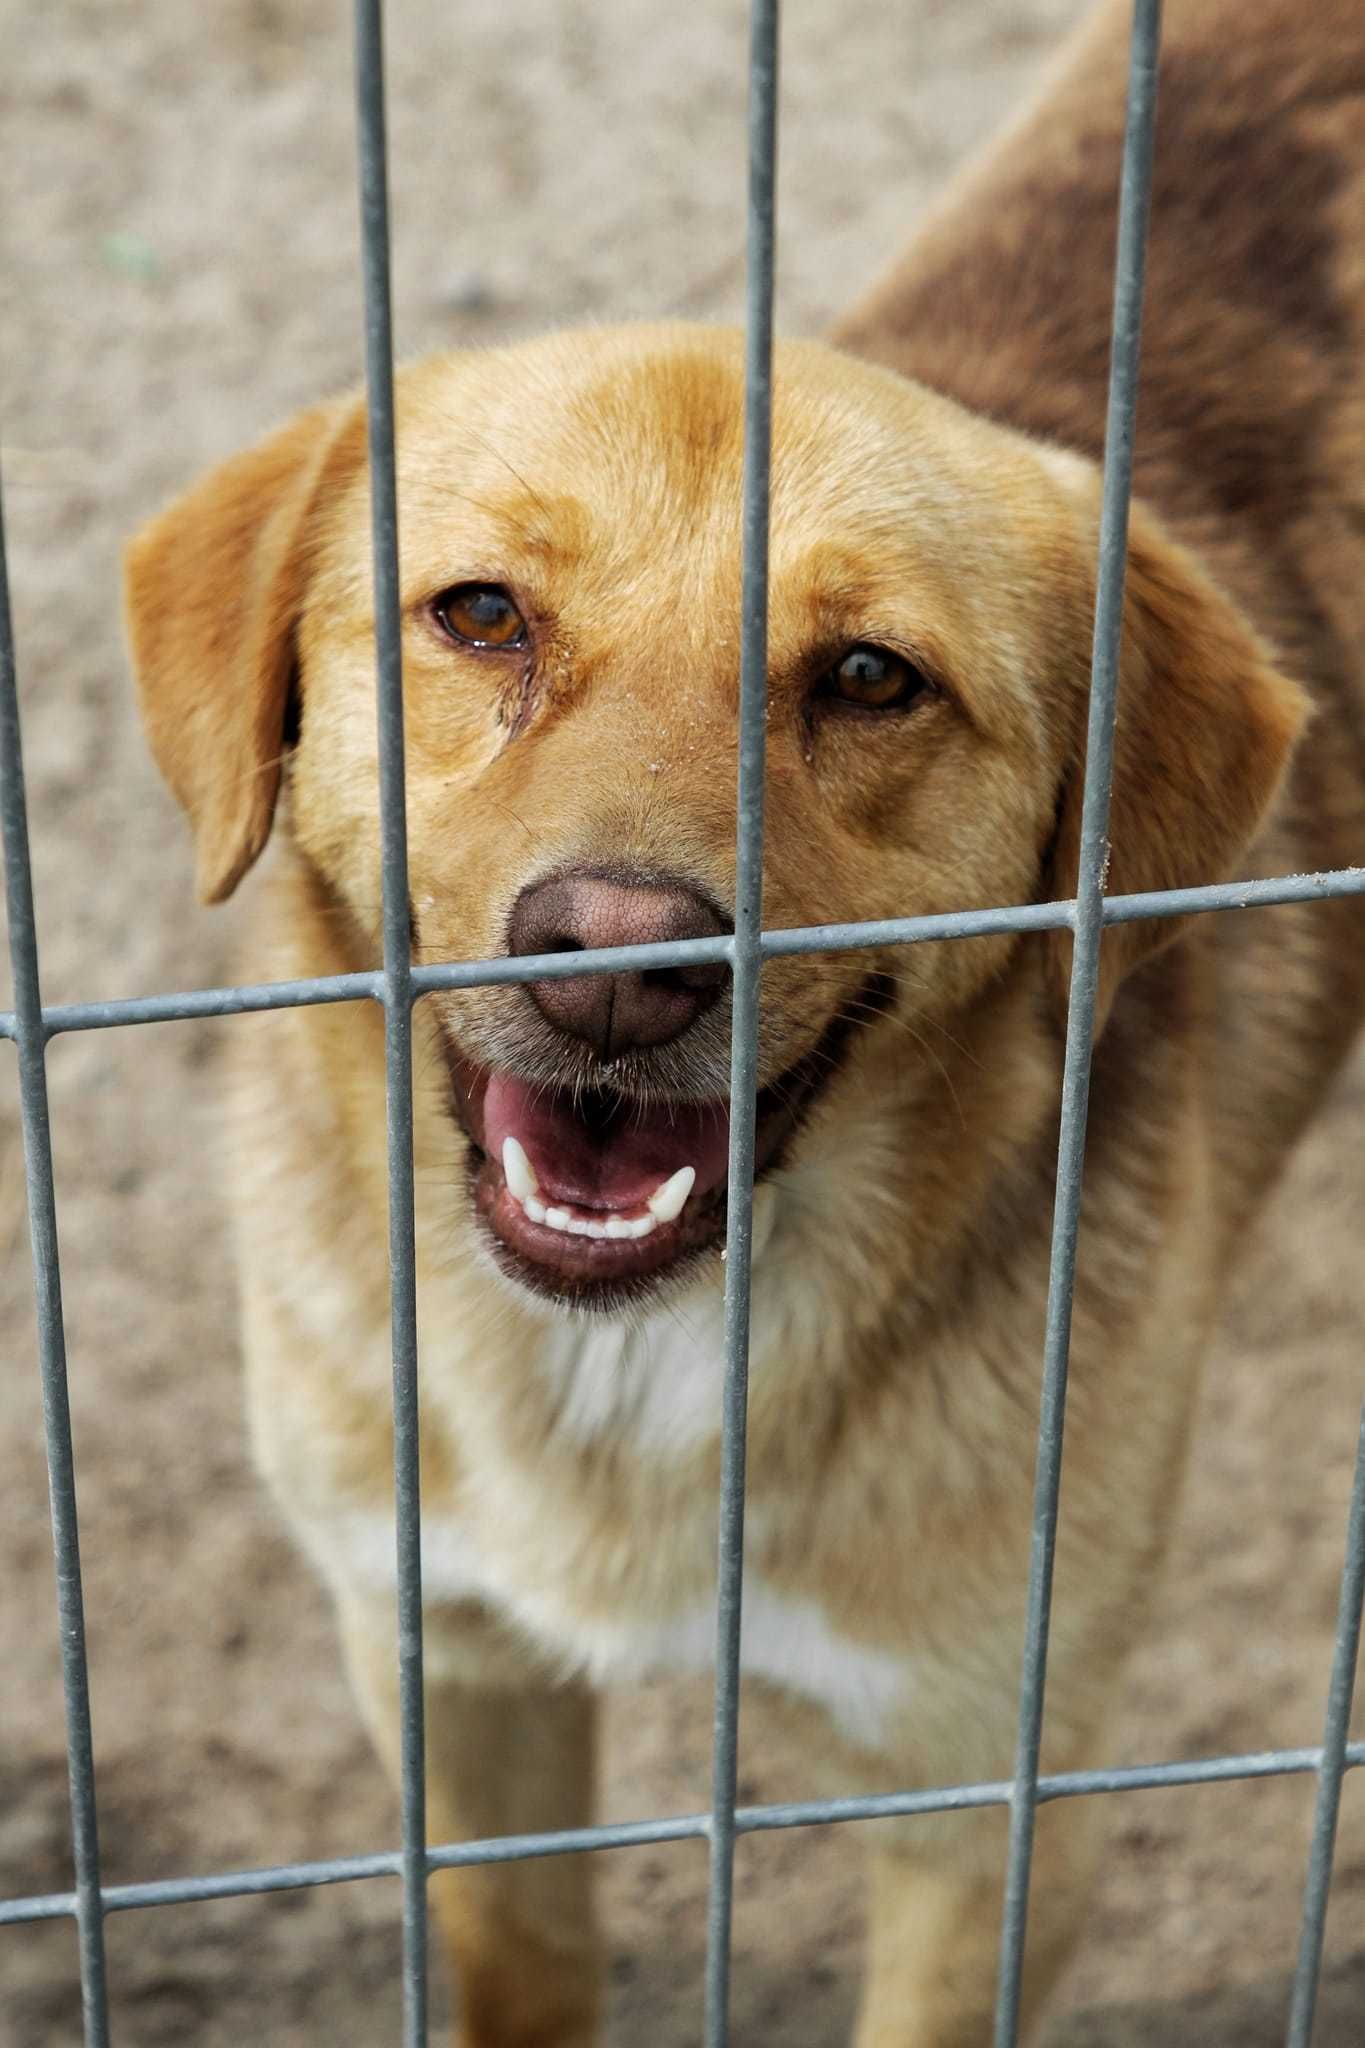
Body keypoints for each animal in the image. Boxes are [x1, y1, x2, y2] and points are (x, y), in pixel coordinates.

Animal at [122, 0, 1365, 2039]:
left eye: (868, 676)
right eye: (481, 615)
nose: (617, 957)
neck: (633, 1385)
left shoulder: (994, 1804)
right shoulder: (449, 1669)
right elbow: (523, 1970)